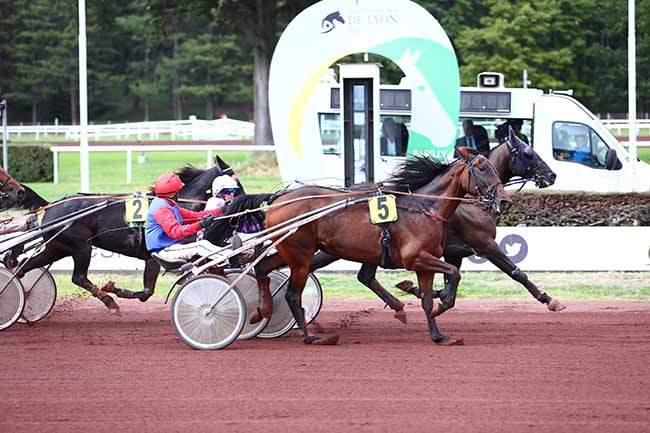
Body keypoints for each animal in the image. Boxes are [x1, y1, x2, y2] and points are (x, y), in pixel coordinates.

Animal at [4, 156, 239, 313]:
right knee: (78, 277)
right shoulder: (153, 257)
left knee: (25, 266)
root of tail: (51, 205)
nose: (239, 201)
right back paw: (109, 301)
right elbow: (147, 292)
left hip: (57, 247)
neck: (178, 204)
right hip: (81, 246)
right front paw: (114, 289)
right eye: (235, 184)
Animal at [253, 147, 511, 345]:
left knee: (262, 268)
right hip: (301, 255)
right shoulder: (416, 257)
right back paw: (310, 337)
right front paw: (443, 304)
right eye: (482, 169)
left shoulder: (425, 264)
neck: (424, 208)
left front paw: (438, 335)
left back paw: (262, 311)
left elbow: (427, 299)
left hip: (290, 251)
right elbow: (454, 273)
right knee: (292, 294)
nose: (505, 201)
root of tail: (278, 200)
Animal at [309, 127, 564, 320]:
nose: (552, 175)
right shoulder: (484, 244)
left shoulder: (454, 252)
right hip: (340, 248)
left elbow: (449, 284)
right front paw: (549, 299)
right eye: (528, 153)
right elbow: (516, 272)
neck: (467, 201)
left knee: (365, 277)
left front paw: (419, 290)